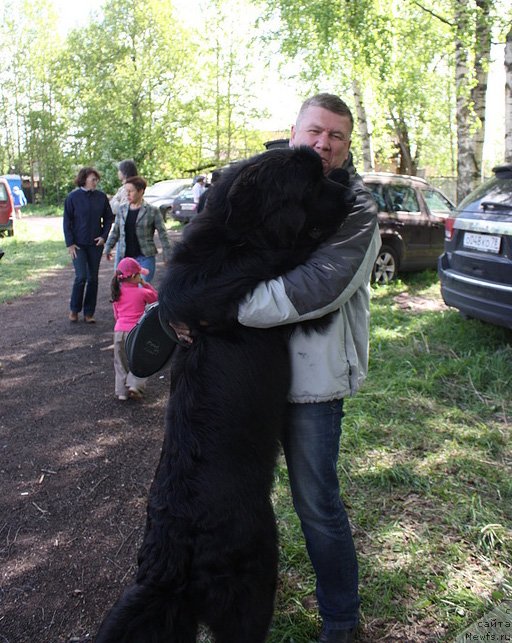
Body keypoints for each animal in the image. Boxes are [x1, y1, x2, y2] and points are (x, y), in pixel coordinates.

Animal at [95, 147, 352, 643]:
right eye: (311, 181)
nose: (350, 184)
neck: (239, 235)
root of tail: (173, 557)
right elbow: (291, 262)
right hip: (254, 581)